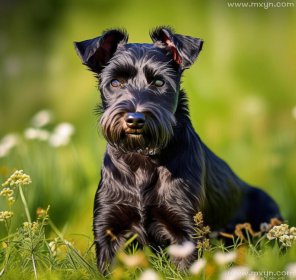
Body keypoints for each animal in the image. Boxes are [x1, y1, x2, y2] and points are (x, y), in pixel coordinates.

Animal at [74, 26, 282, 274]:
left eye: (159, 82)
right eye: (115, 82)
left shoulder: (185, 228)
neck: (142, 160)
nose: (135, 119)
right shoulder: (109, 227)